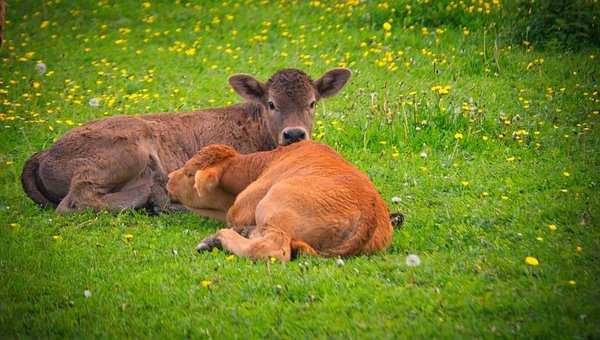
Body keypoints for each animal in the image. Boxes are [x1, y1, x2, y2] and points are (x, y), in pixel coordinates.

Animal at [22, 67, 352, 214]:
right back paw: (154, 194)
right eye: (271, 103)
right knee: (76, 200)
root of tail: (45, 153)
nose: (294, 134)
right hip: (128, 148)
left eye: (312, 102)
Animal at [168, 140, 394, 260]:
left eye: (190, 173)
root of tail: (370, 211)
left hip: (273, 205)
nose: (169, 178)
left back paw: (220, 237)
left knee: (271, 249)